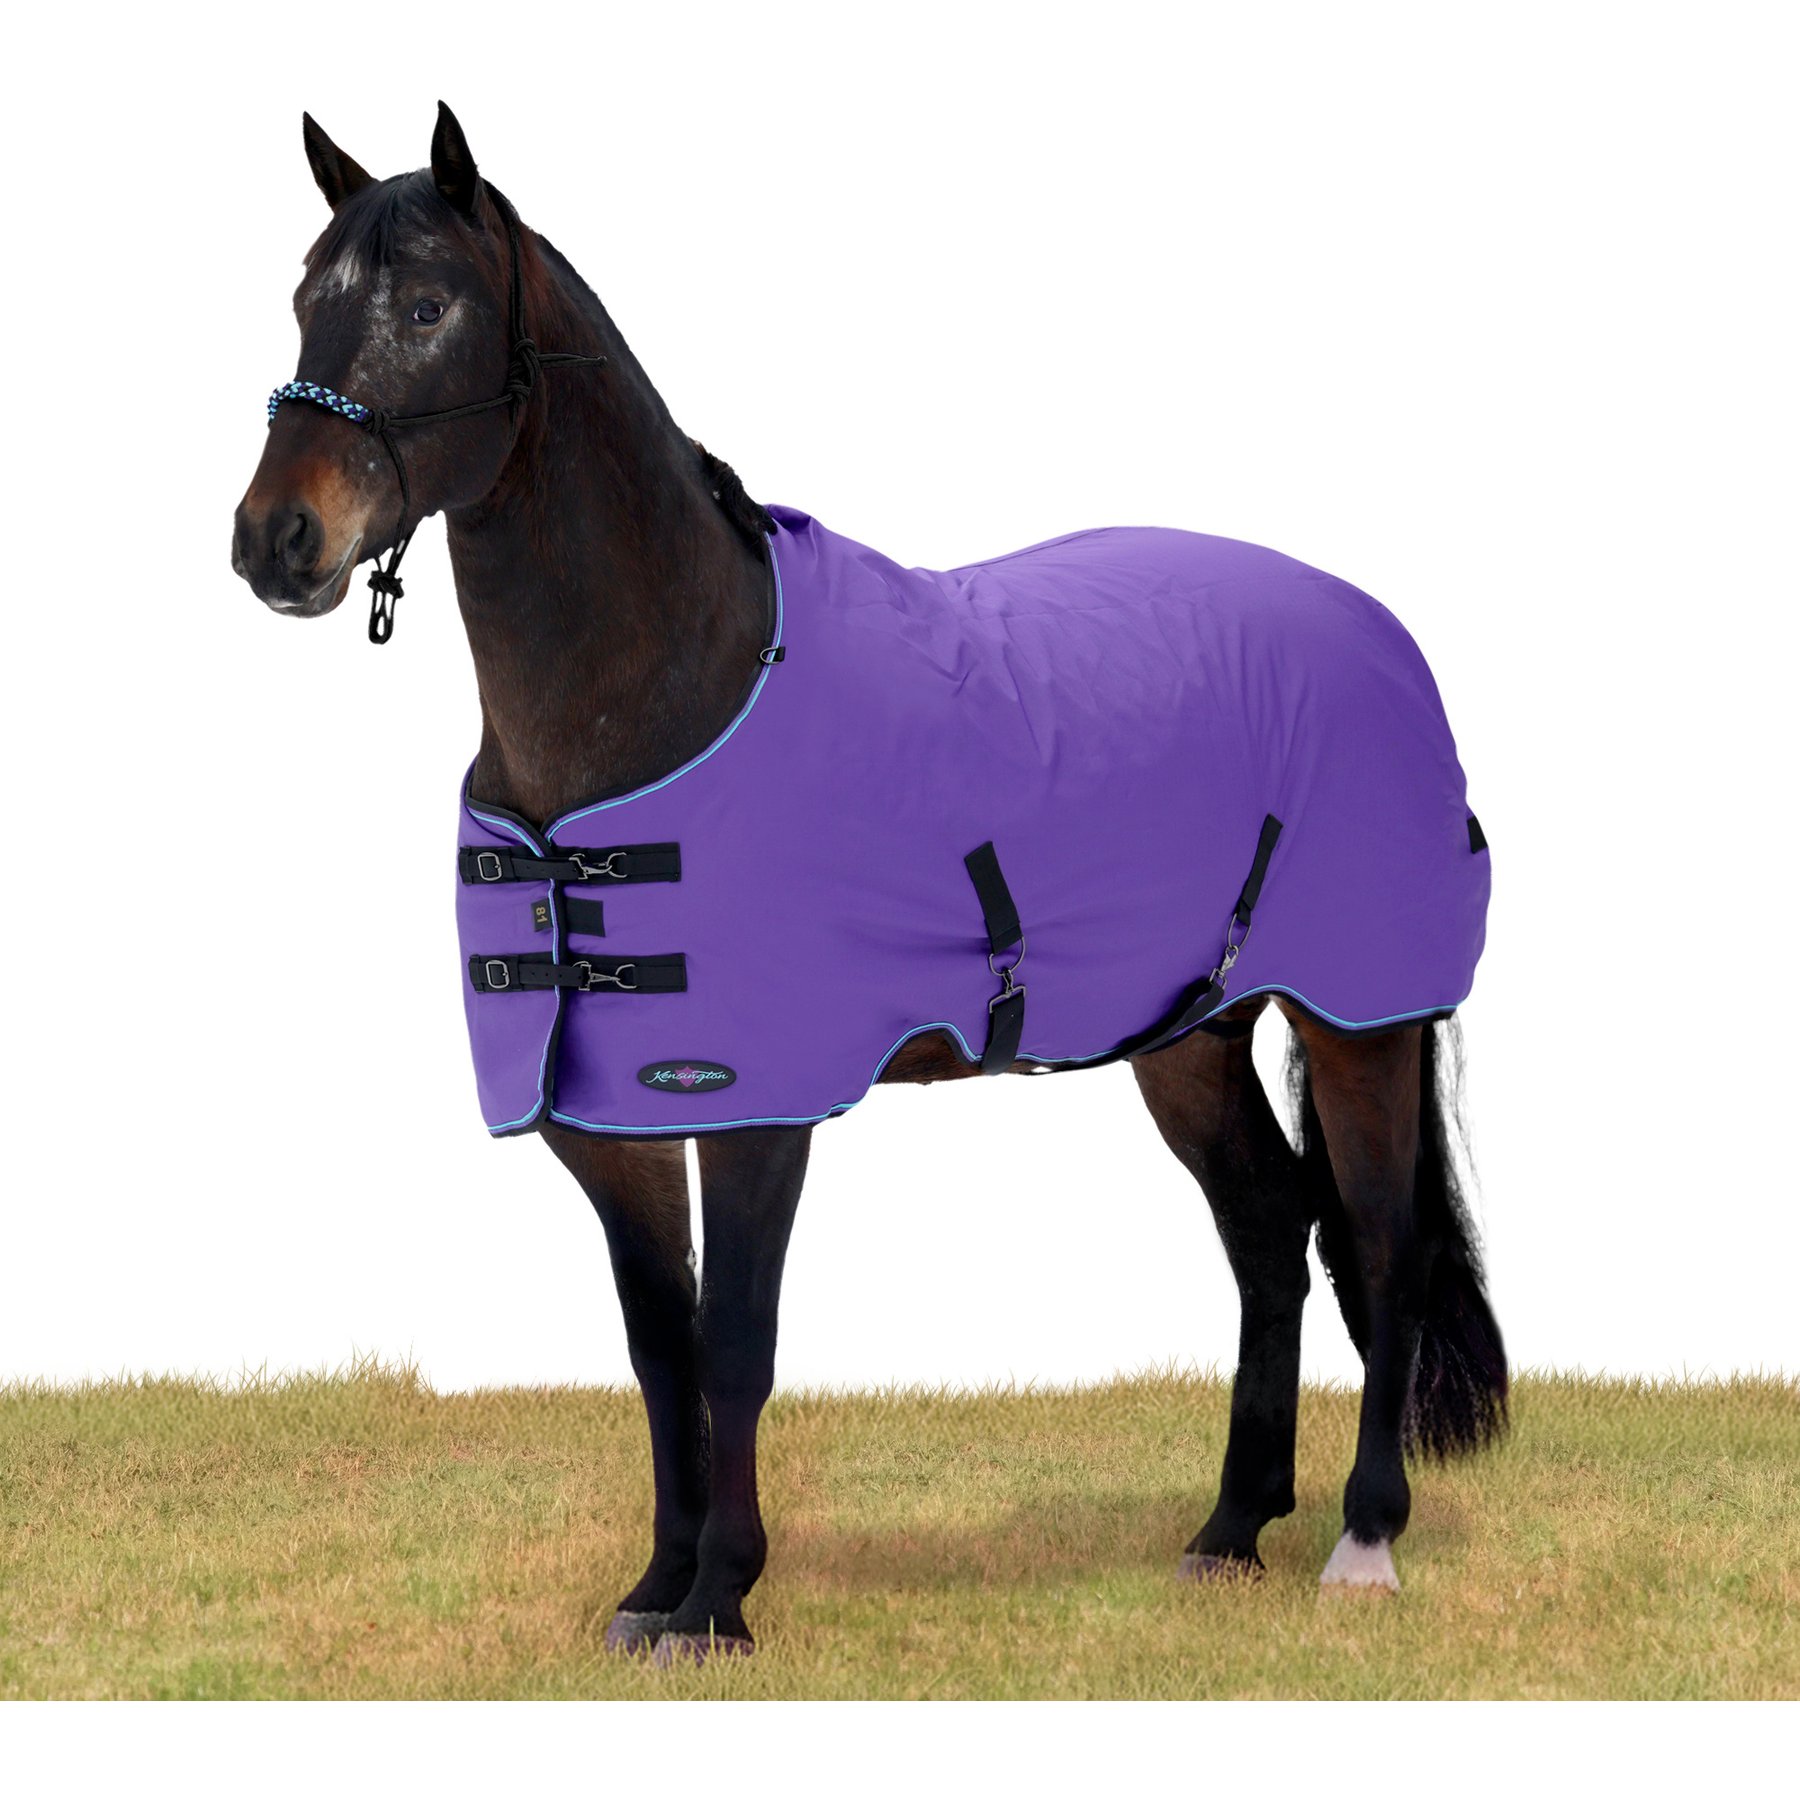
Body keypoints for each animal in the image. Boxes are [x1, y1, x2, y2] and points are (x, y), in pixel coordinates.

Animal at [230, 104, 1506, 1664]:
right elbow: (659, 1348)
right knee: (1269, 1234)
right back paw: (1226, 1532)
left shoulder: (757, 1105)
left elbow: (735, 1343)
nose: (275, 540)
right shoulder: (608, 1120)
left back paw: (1364, 1538)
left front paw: (719, 1601)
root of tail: (1379, 632)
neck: (672, 690)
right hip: (1190, 1036)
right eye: (306, 294)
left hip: (1357, 1020)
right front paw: (653, 1589)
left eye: (427, 308)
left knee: (1378, 1248)